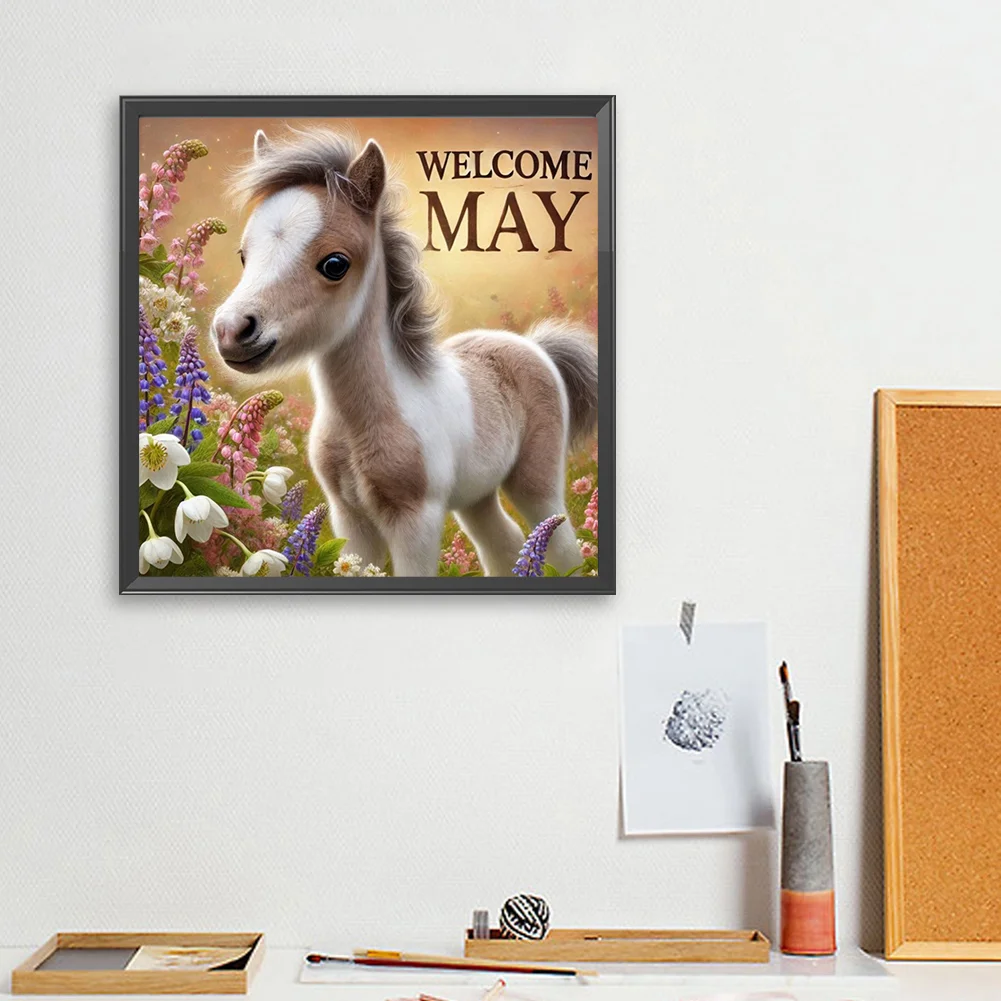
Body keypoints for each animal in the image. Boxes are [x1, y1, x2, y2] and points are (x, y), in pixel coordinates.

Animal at [211, 127, 598, 577]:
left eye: (335, 264)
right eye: (243, 255)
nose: (231, 331)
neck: (362, 421)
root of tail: (534, 346)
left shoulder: (417, 522)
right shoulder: (349, 519)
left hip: (536, 482)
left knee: (561, 546)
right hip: (476, 495)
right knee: (503, 543)